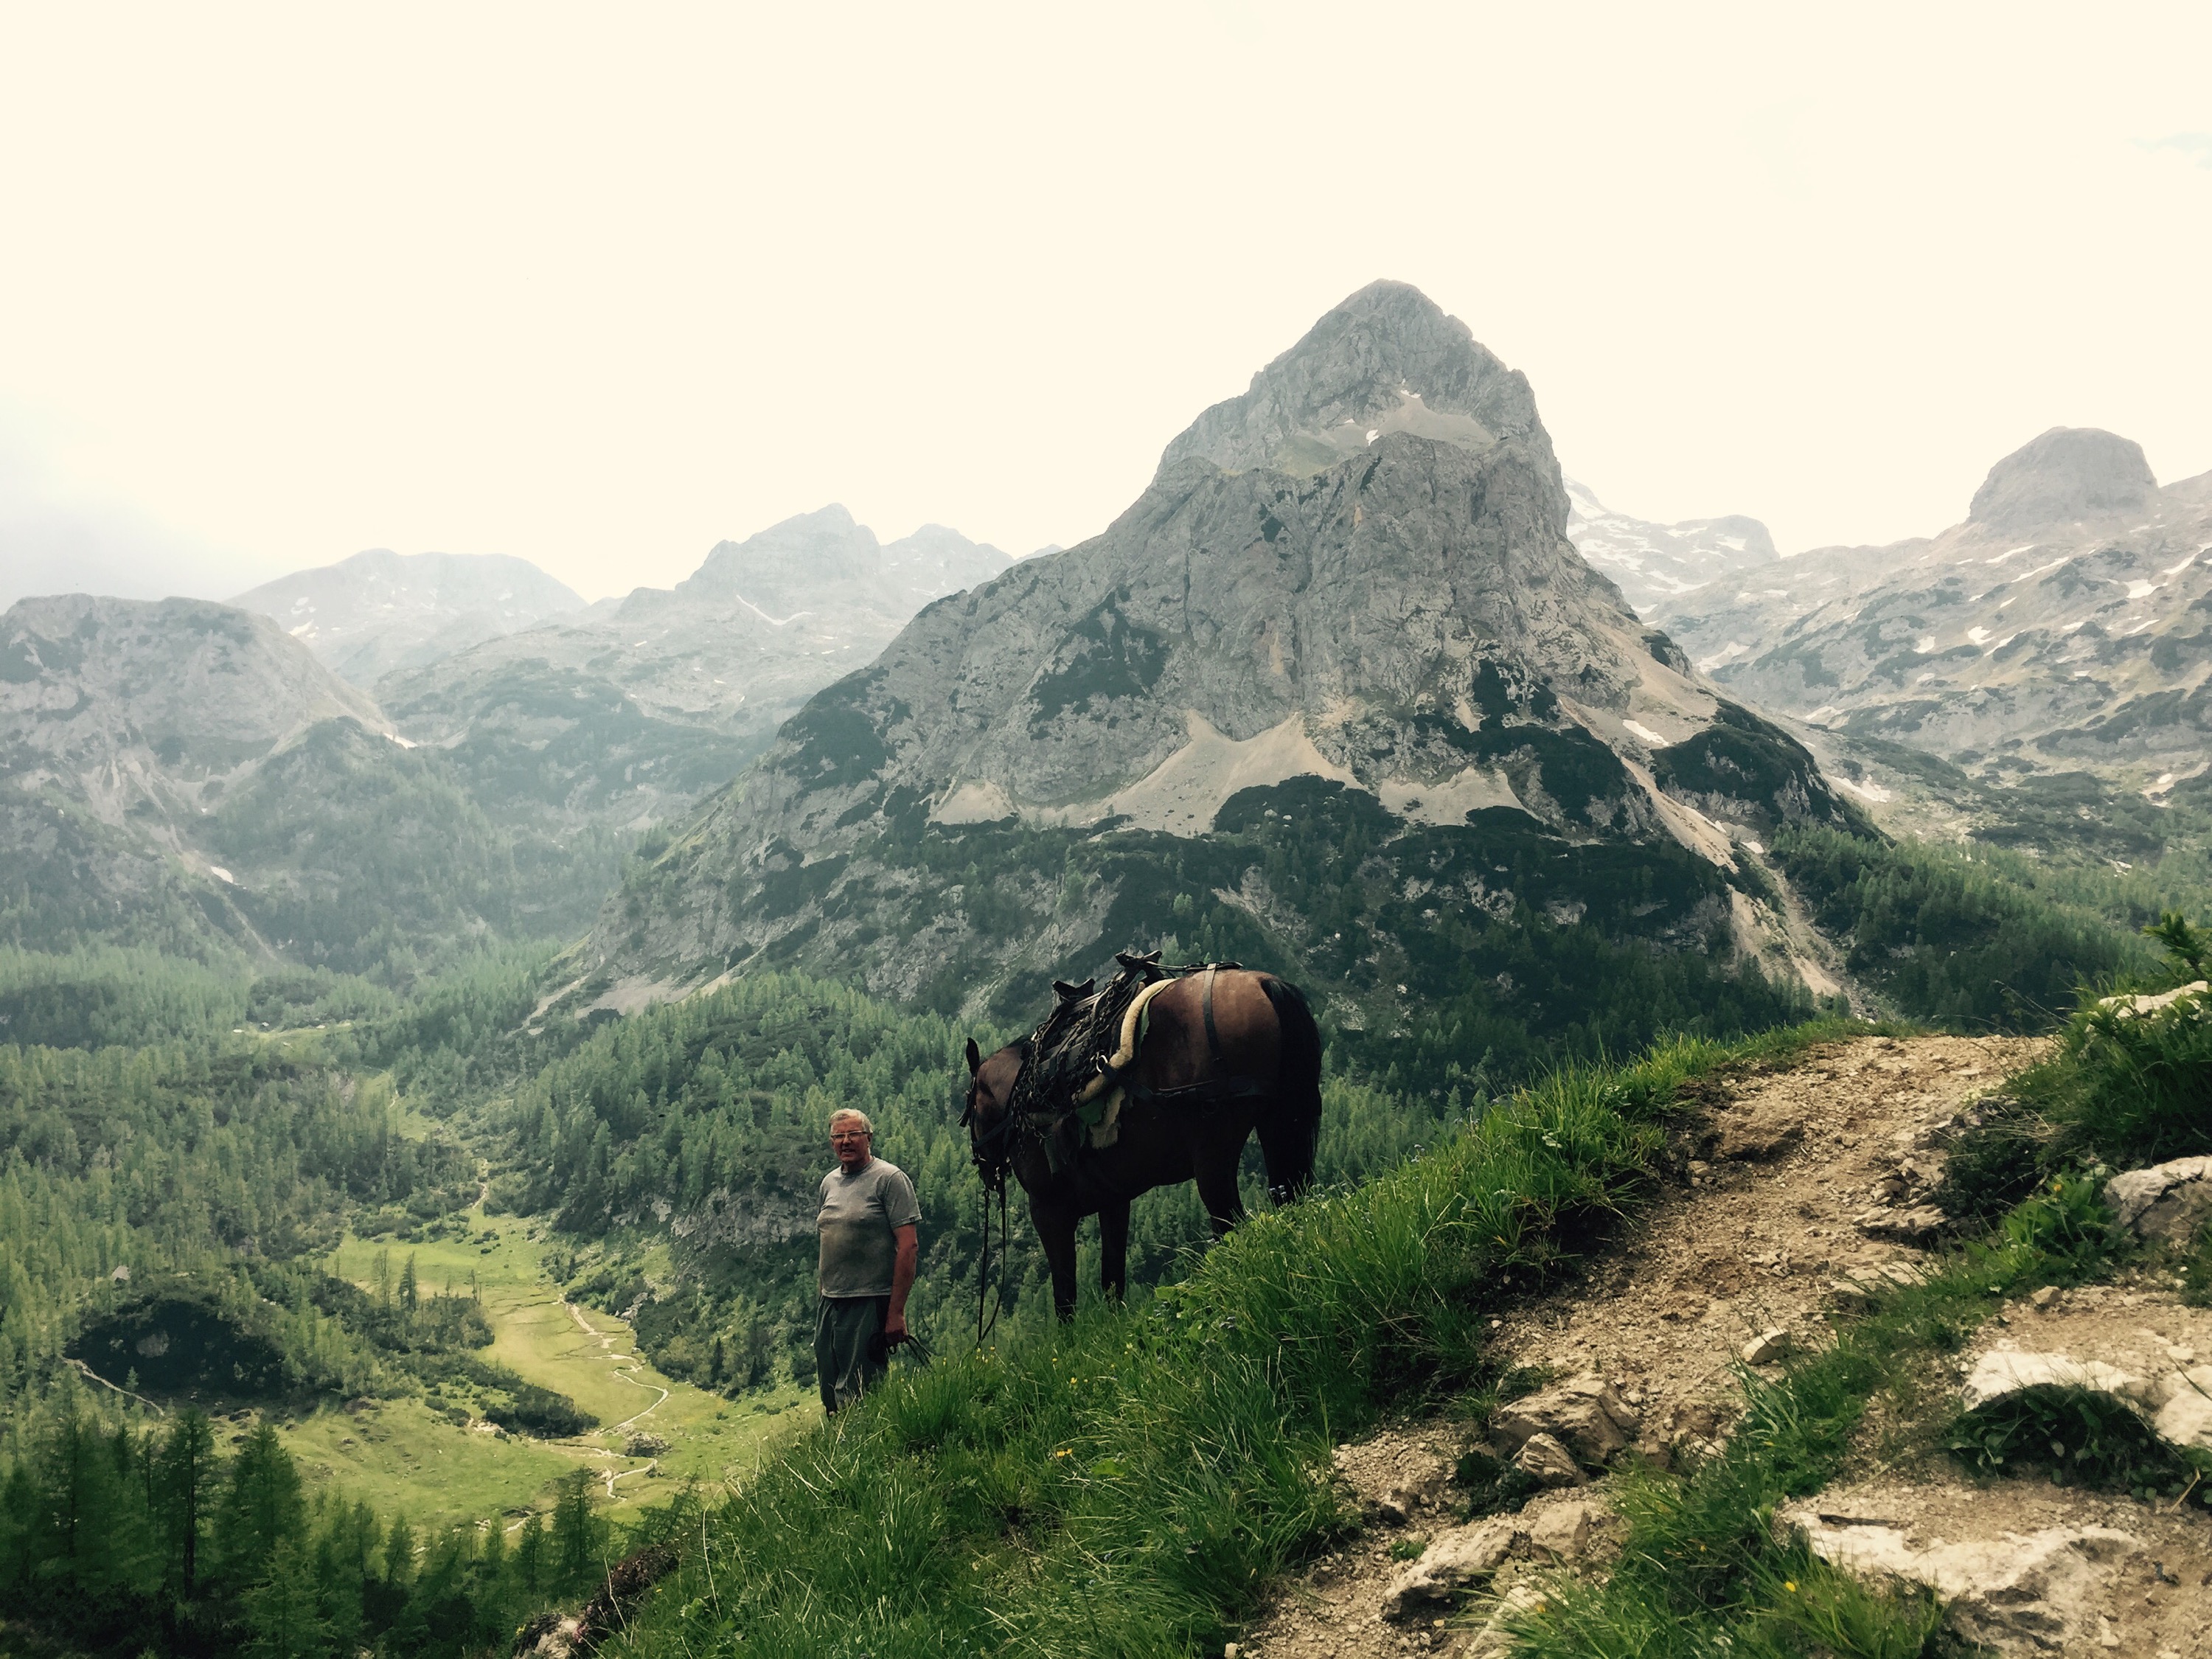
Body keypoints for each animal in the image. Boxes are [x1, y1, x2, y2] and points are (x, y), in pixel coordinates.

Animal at [964, 969, 1310, 1318]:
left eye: (969, 1104)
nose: (984, 1166)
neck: (1023, 1098)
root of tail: (1262, 983)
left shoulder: (1048, 1211)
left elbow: (1065, 1296)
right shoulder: (1114, 1201)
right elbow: (1112, 1278)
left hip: (1213, 1156)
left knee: (1228, 1225)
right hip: (1280, 1126)